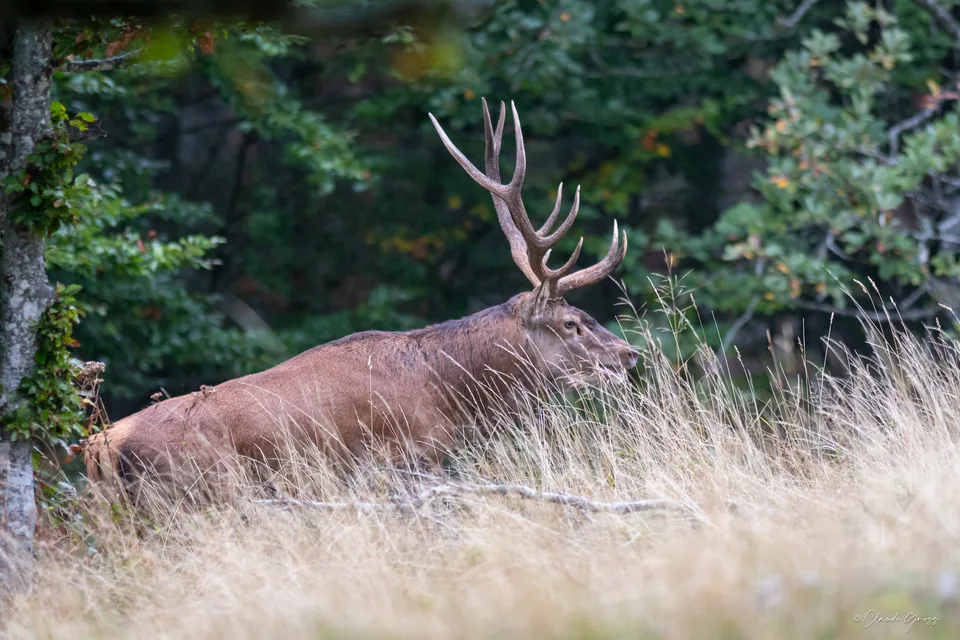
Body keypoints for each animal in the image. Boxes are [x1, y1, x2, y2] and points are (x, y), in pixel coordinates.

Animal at [82, 99, 639, 496]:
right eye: (571, 323)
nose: (629, 354)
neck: (453, 394)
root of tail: (97, 449)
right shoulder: (406, 460)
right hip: (203, 491)